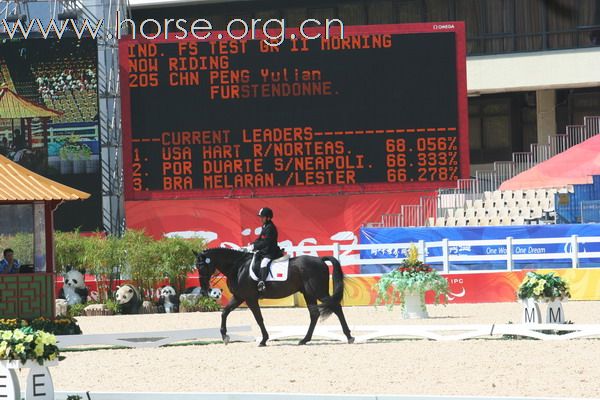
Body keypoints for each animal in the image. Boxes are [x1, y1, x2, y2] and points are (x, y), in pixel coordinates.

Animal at [195, 247, 354, 346]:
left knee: (336, 307)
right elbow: (224, 313)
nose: (204, 290)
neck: (238, 267)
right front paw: (225, 337)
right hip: (309, 293)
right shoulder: (239, 297)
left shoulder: (250, 298)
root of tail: (320, 260)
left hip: (318, 292)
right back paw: (304, 340)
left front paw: (263, 340)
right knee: (314, 314)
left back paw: (349, 336)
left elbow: (259, 319)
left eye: (202, 267)